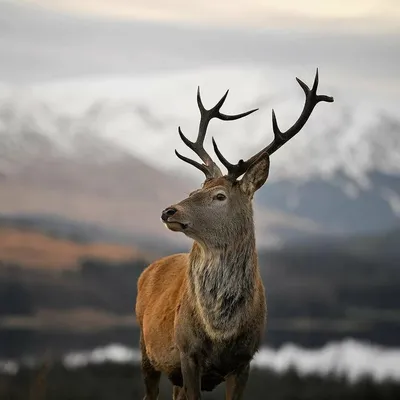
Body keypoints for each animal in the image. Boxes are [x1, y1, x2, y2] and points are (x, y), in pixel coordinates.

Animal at [136, 70, 332, 398]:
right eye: (194, 190)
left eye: (219, 196)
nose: (168, 211)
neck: (221, 333)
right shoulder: (188, 354)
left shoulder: (245, 360)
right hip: (145, 348)